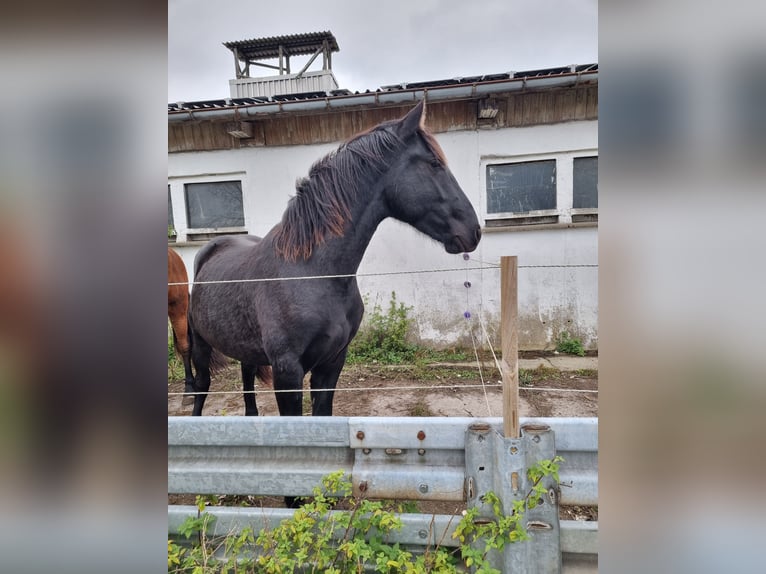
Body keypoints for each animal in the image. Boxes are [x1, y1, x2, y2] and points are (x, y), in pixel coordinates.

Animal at [188, 101, 480, 418]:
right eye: (434, 164)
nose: (474, 230)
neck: (312, 273)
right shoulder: (287, 372)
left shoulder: (332, 363)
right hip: (200, 347)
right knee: (201, 387)